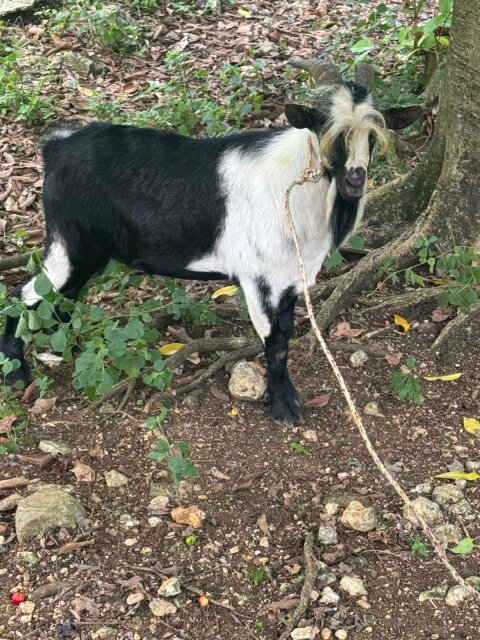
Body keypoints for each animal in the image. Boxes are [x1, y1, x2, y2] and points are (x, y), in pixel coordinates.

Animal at [0, 59, 419, 426]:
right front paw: (283, 407)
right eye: (328, 132)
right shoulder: (258, 279)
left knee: (64, 296)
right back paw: (16, 372)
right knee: (24, 294)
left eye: (371, 137)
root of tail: (55, 148)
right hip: (69, 242)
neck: (293, 191)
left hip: (91, 252)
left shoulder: (288, 280)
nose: (355, 180)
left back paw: (65, 346)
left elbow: (286, 334)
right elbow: (274, 340)